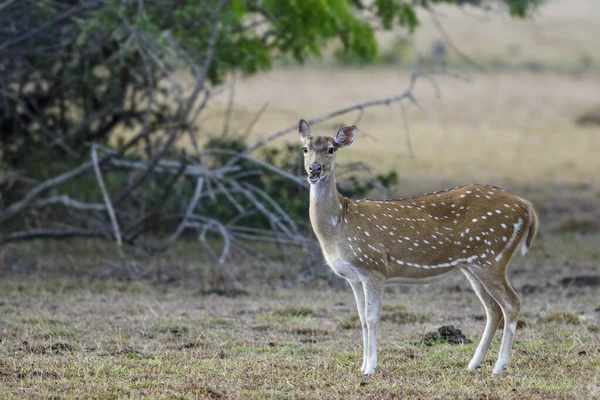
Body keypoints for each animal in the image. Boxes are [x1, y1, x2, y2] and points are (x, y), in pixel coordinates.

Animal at [300, 118, 540, 376]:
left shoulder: (373, 266)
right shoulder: (353, 277)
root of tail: (527, 209)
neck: (339, 225)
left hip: (492, 257)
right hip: (474, 264)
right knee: (493, 308)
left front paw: (370, 367)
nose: (315, 169)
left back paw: (499, 366)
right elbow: (361, 319)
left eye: (331, 149)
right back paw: (474, 364)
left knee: (512, 303)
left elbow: (372, 318)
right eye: (305, 149)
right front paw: (362, 365)